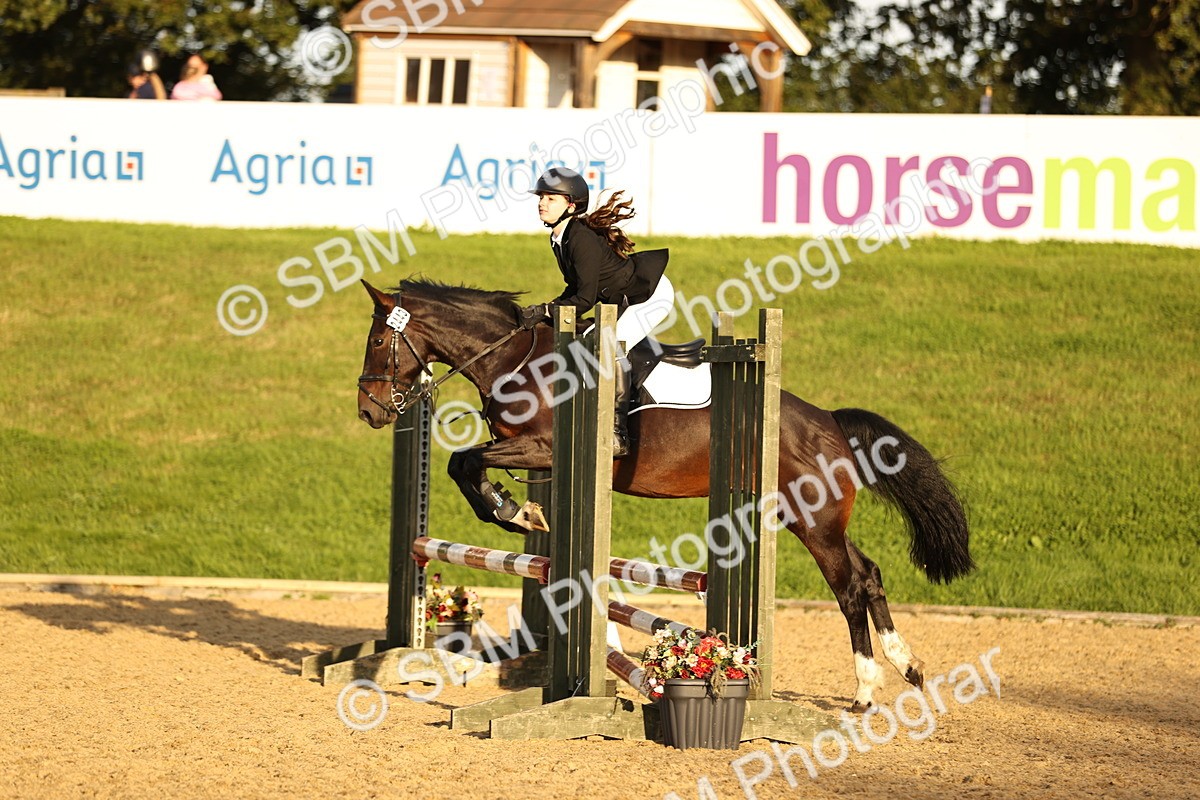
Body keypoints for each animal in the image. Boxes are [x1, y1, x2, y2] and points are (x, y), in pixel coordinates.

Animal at [356, 279, 973, 710]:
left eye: (380, 339)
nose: (369, 411)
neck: (517, 358)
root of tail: (828, 421)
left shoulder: (542, 449)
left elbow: (464, 461)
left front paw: (513, 510)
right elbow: (465, 464)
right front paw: (520, 512)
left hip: (813, 518)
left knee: (849, 588)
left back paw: (866, 690)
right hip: (809, 517)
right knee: (867, 574)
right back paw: (906, 666)